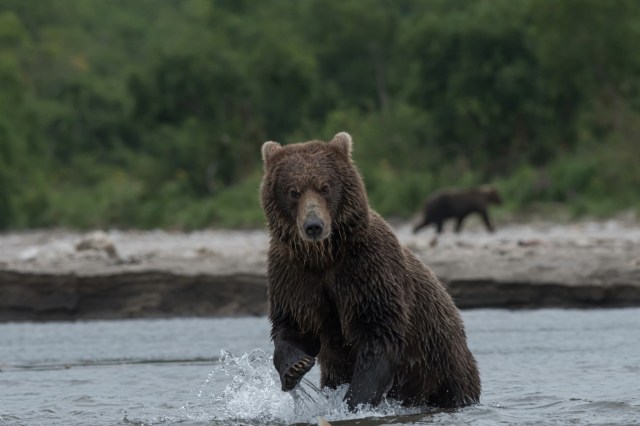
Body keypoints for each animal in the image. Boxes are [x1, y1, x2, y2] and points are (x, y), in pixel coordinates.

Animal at [260, 132, 481, 411]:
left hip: (443, 361)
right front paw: (295, 368)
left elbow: (378, 334)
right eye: (293, 191)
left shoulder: (367, 269)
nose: (313, 226)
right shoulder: (293, 273)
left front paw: (354, 401)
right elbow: (294, 325)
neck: (323, 256)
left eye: (325, 187)